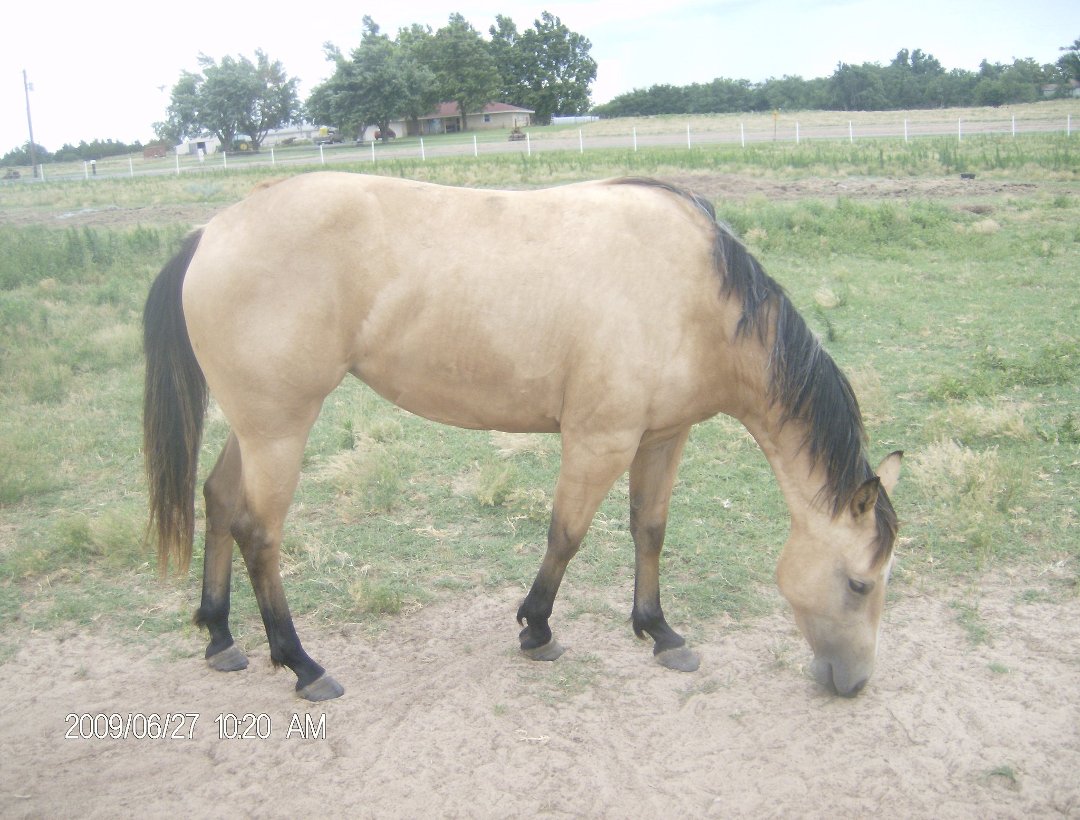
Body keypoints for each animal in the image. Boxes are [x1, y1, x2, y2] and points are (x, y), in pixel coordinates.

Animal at [143, 173, 901, 701]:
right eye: (859, 584)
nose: (855, 682)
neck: (695, 295)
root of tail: (213, 230)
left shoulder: (663, 438)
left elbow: (649, 530)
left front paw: (659, 632)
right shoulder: (599, 440)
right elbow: (565, 535)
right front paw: (537, 630)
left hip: (256, 427)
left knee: (219, 500)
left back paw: (220, 636)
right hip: (280, 430)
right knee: (260, 534)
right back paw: (302, 665)